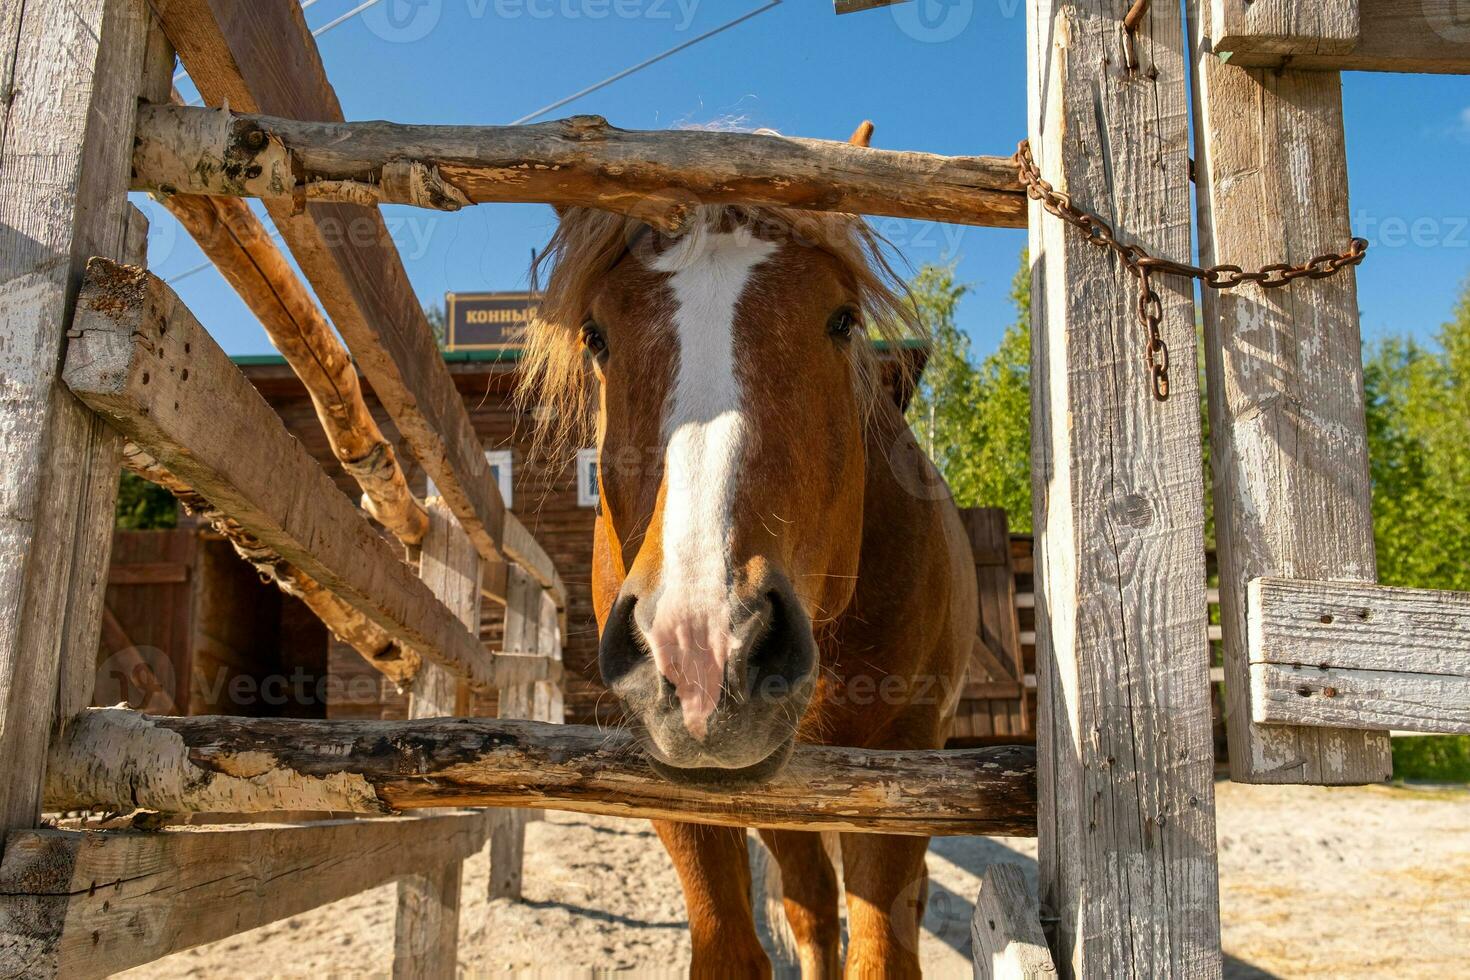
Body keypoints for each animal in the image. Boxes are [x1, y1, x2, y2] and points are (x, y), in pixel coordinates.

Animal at [523, 126, 981, 975]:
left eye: (842, 319)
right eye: (596, 335)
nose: (703, 648)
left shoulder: (905, 766)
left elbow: (881, 950)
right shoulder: (677, 787)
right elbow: (739, 943)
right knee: (809, 906)